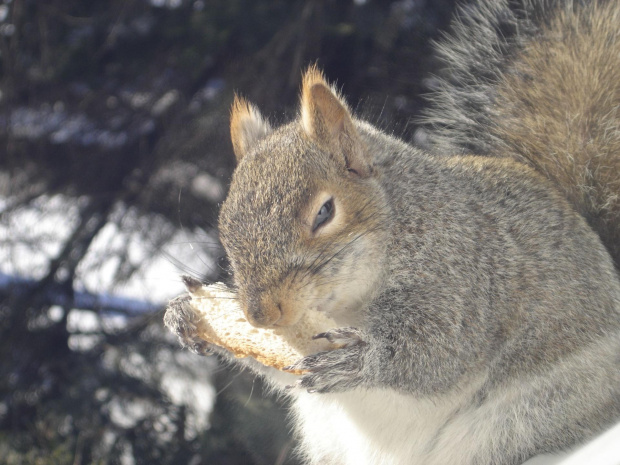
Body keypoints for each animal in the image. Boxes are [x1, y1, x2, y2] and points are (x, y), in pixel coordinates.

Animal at [167, 0, 620, 464]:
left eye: (324, 213)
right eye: (225, 224)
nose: (261, 315)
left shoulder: (464, 276)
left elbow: (441, 347)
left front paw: (361, 360)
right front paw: (188, 313)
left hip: (525, 416)